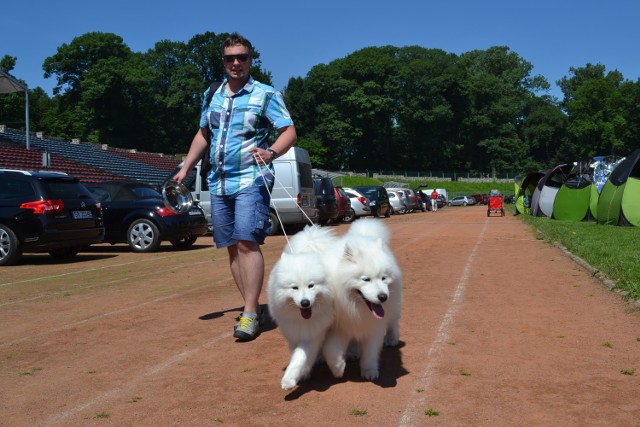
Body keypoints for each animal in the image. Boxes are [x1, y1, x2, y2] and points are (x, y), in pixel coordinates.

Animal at [266, 227, 340, 392]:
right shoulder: (293, 333)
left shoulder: (313, 333)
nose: (305, 302)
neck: (302, 319)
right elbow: (296, 353)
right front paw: (302, 374)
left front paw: (289, 380)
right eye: (294, 288)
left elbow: (300, 357)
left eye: (311, 285)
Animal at [322, 221, 402, 382]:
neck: (356, 307)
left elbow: (370, 352)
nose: (383, 297)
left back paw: (391, 338)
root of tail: (363, 236)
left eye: (384, 278)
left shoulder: (373, 327)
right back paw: (353, 352)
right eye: (366, 279)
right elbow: (331, 349)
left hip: (393, 307)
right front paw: (338, 368)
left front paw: (369, 370)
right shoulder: (341, 324)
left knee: (393, 322)